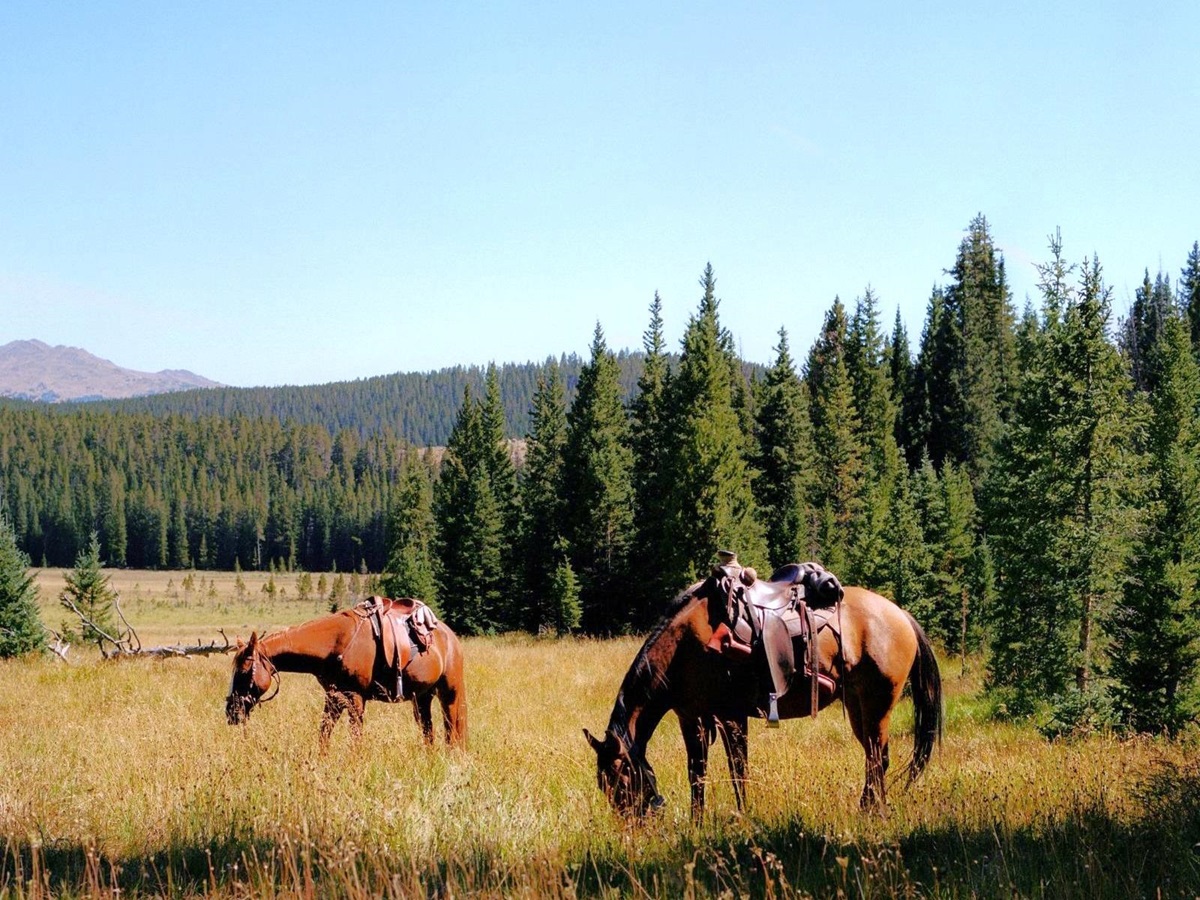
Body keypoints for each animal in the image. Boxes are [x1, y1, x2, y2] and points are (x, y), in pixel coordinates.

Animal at [225, 597, 467, 748]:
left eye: (244, 672)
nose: (231, 712)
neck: (335, 644)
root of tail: (449, 635)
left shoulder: (355, 698)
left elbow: (355, 738)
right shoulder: (333, 698)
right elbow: (323, 735)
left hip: (450, 693)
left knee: (453, 730)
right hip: (422, 697)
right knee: (429, 733)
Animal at [584, 562, 942, 819]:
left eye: (621, 779)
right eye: (603, 784)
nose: (632, 824)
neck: (683, 649)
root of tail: (902, 615)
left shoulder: (730, 716)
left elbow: (737, 770)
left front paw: (742, 816)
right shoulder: (692, 719)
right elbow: (696, 773)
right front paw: (697, 822)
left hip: (878, 703)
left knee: (878, 757)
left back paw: (874, 812)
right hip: (859, 706)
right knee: (874, 755)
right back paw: (868, 809)